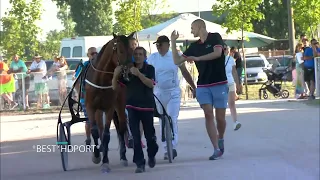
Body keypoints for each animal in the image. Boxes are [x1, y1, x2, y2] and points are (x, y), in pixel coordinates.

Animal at [84, 32, 135, 173]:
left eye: (132, 50)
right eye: (121, 51)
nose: (129, 74)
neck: (101, 79)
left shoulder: (109, 108)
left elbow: (106, 134)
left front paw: (105, 162)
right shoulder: (91, 107)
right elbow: (95, 131)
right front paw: (96, 155)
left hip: (120, 105)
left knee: (121, 127)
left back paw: (123, 157)